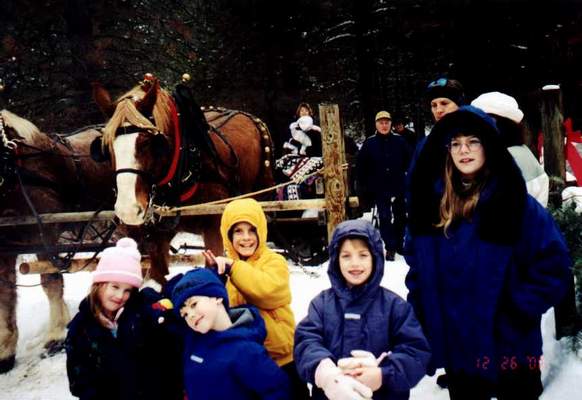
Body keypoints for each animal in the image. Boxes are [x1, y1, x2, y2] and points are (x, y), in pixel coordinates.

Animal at [0, 109, 115, 373]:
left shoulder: (45, 232)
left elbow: (50, 280)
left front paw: (56, 335)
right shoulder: (4, 247)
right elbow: (6, 294)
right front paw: (5, 350)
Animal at [90, 75, 275, 283]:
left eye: (147, 142)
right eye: (106, 146)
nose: (127, 210)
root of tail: (250, 117)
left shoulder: (213, 226)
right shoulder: (157, 235)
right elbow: (158, 276)